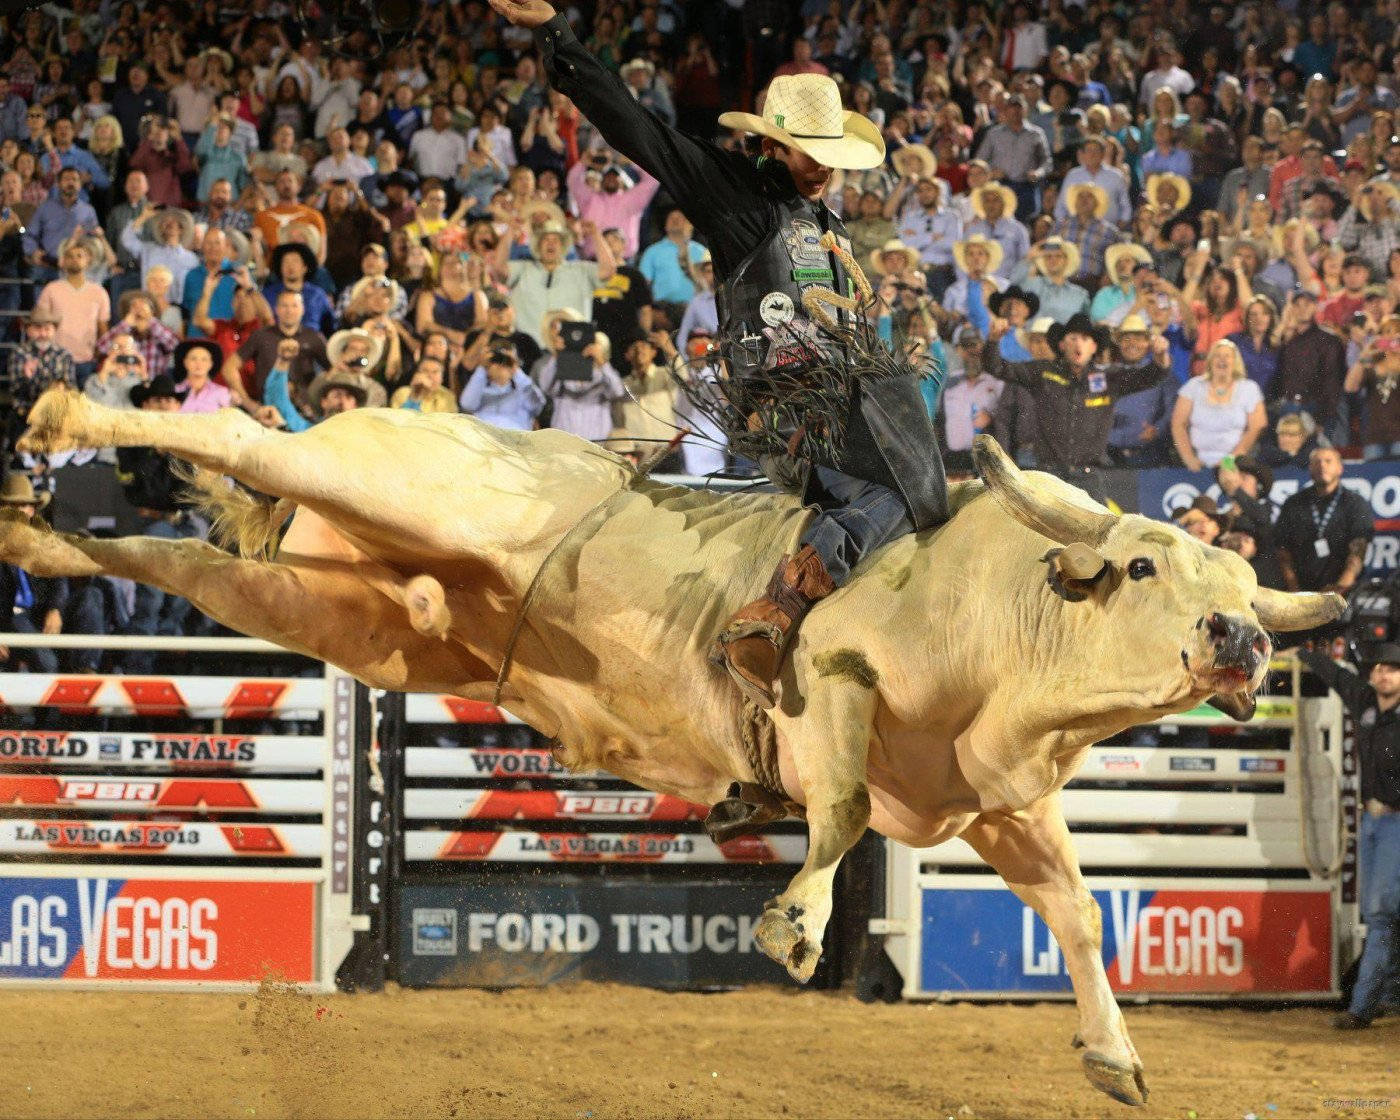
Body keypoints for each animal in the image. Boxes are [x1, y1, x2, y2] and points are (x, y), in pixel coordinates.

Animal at [2, 389, 1344, 1108]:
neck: (1005, 624)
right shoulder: (834, 681)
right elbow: (838, 815)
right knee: (240, 431)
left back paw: (35, 523)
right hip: (381, 482)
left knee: (181, 555)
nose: (1234, 638)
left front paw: (1112, 1054)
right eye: (1141, 567)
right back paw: (66, 415)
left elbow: (1072, 908)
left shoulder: (997, 806)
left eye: (1241, 586)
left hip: (340, 611)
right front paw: (794, 924)